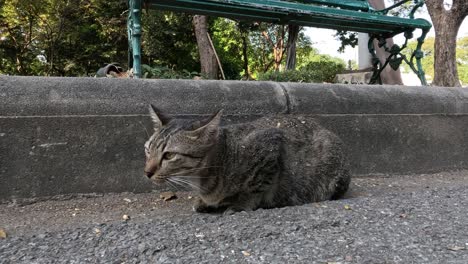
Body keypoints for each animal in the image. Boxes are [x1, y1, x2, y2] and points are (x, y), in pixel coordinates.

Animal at [144, 104, 350, 213]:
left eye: (169, 155)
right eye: (147, 150)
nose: (147, 172)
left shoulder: (270, 146)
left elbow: (255, 188)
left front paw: (240, 204)